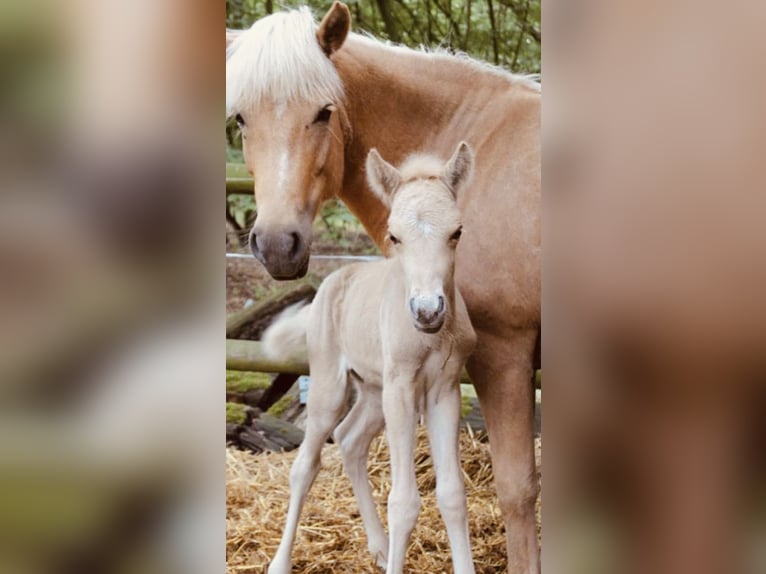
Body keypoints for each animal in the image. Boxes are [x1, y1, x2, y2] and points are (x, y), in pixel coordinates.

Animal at [264, 144, 480, 574]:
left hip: (374, 393)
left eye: (457, 232)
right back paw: (280, 562)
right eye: (394, 236)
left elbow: (452, 494)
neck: (430, 338)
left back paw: (379, 546)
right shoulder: (401, 388)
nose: (427, 311)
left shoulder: (443, 390)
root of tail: (332, 280)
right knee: (305, 465)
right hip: (331, 384)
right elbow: (403, 501)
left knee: (349, 440)